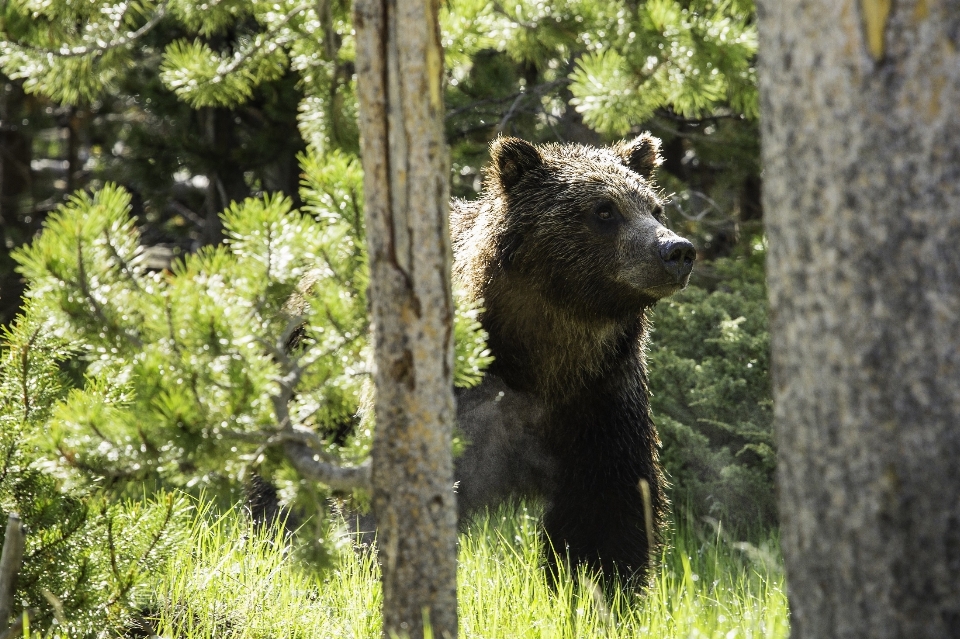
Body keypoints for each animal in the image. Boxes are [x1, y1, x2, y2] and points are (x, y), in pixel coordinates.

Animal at [454, 134, 692, 580]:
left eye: (655, 208)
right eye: (604, 210)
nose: (677, 251)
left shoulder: (600, 400)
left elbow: (607, 511)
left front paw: (596, 583)